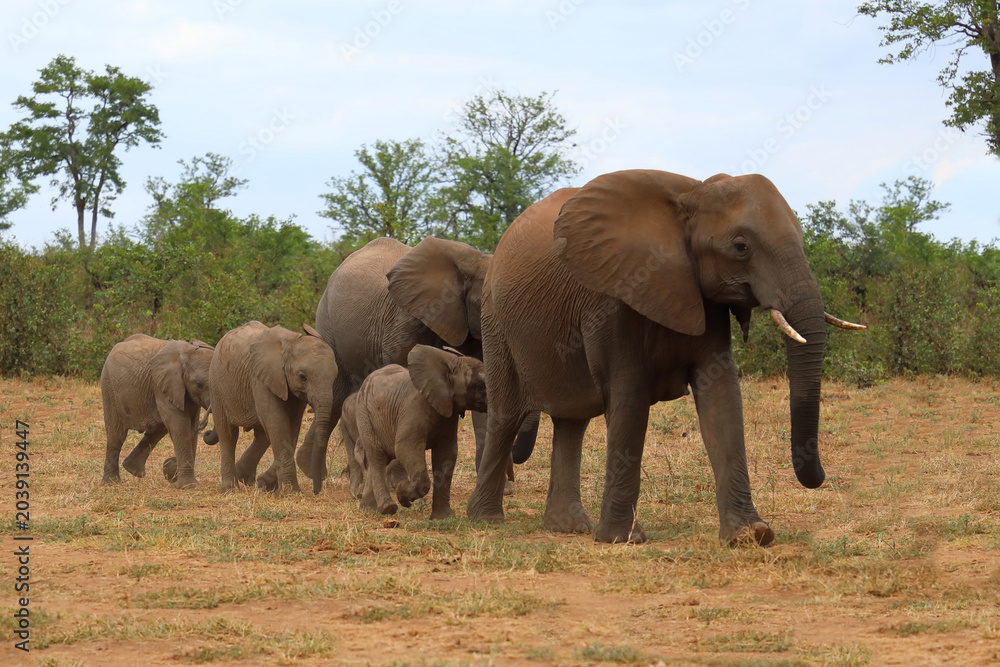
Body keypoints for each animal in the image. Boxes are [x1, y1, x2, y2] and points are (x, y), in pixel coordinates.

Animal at [100, 334, 214, 488]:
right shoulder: (161, 385)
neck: (188, 352)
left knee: (158, 428)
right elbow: (180, 425)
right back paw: (111, 482)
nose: (170, 463)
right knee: (116, 435)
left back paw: (133, 470)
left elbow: (191, 426)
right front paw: (187, 486)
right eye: (199, 384)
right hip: (109, 389)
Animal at [209, 321, 339, 493]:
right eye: (302, 377)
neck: (291, 343)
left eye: (335, 377)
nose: (316, 491)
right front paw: (290, 492)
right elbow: (277, 423)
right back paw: (230, 488)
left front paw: (269, 486)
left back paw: (245, 478)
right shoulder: (261, 378)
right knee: (228, 434)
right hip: (217, 385)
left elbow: (291, 426)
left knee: (262, 435)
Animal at [295, 235, 538, 495]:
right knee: (337, 394)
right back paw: (313, 471)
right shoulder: (405, 318)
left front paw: (502, 491)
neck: (473, 261)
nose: (512, 474)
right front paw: (398, 483)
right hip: (327, 322)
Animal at [353, 345, 488, 518]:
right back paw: (388, 508)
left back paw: (368, 509)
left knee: (379, 459)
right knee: (377, 457)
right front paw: (403, 494)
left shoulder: (448, 414)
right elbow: (405, 448)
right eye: (481, 386)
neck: (449, 361)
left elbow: (447, 454)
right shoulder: (414, 408)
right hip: (364, 415)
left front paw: (443, 518)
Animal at [466, 170, 865, 546]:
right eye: (740, 247)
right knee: (506, 416)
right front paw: (622, 539)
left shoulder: (704, 299)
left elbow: (722, 397)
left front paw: (750, 535)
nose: (817, 478)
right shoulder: (610, 297)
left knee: (571, 421)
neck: (691, 195)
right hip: (495, 322)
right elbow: (629, 398)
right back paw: (485, 520)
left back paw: (570, 528)